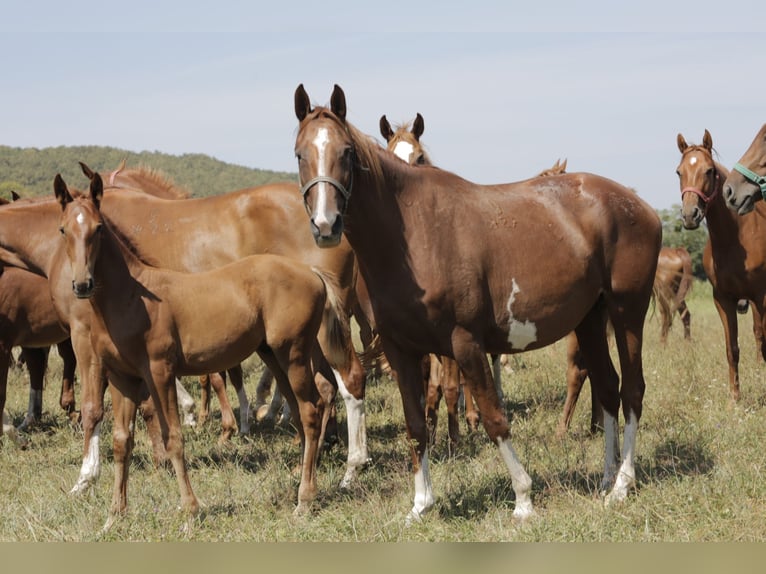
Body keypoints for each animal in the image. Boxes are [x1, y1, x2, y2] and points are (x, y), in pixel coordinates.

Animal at [292, 84, 664, 520]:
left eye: (347, 152)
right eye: (299, 154)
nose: (326, 225)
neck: (413, 232)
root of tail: (640, 206)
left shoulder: (465, 342)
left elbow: (493, 416)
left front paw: (523, 498)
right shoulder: (401, 350)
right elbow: (416, 425)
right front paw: (420, 504)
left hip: (627, 314)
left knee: (632, 392)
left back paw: (623, 484)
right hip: (591, 319)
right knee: (608, 389)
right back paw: (607, 478)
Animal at [680, 130, 766, 402]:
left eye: (709, 171)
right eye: (679, 172)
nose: (690, 215)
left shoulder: (761, 297)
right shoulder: (723, 299)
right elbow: (732, 349)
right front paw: (734, 398)